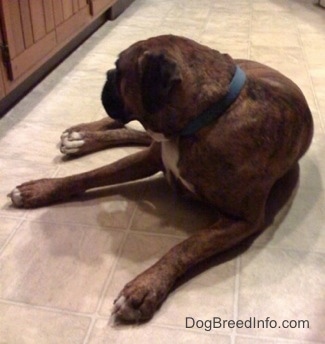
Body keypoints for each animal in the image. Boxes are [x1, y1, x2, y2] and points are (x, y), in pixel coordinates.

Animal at [9, 35, 312, 322]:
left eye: (120, 70)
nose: (107, 73)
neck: (204, 119)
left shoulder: (240, 220)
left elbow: (186, 246)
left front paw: (146, 287)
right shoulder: (149, 159)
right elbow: (89, 175)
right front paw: (39, 189)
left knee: (134, 131)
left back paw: (82, 139)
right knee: (124, 126)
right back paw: (81, 135)